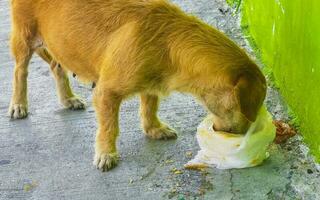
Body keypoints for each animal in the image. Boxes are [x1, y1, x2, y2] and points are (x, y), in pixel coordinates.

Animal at [8, 0, 266, 171]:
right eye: (248, 109)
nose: (241, 135)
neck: (169, 41)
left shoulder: (150, 85)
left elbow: (149, 107)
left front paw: (154, 129)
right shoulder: (106, 92)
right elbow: (109, 127)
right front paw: (106, 153)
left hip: (57, 46)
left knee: (56, 66)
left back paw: (67, 99)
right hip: (24, 36)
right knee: (20, 71)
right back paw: (18, 104)